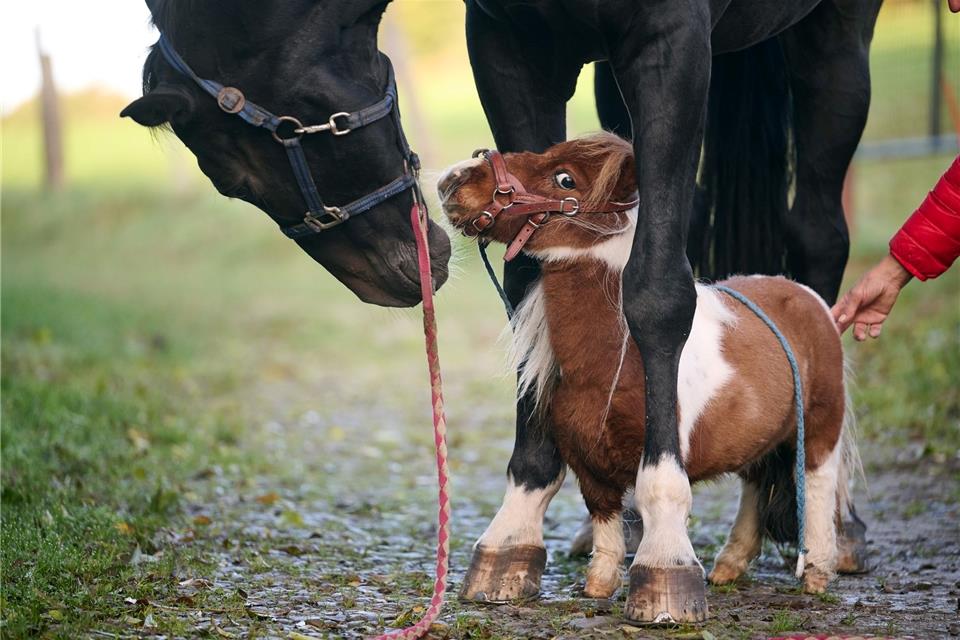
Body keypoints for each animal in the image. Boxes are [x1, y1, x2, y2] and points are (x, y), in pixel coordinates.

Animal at [460, 0, 879, 621]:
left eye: (565, 179)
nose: (456, 180)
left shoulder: (672, 44)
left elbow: (657, 288)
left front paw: (664, 559)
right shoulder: (507, 39)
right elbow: (523, 284)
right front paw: (515, 540)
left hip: (834, 38)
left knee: (819, 233)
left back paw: (827, 544)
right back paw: (732, 557)